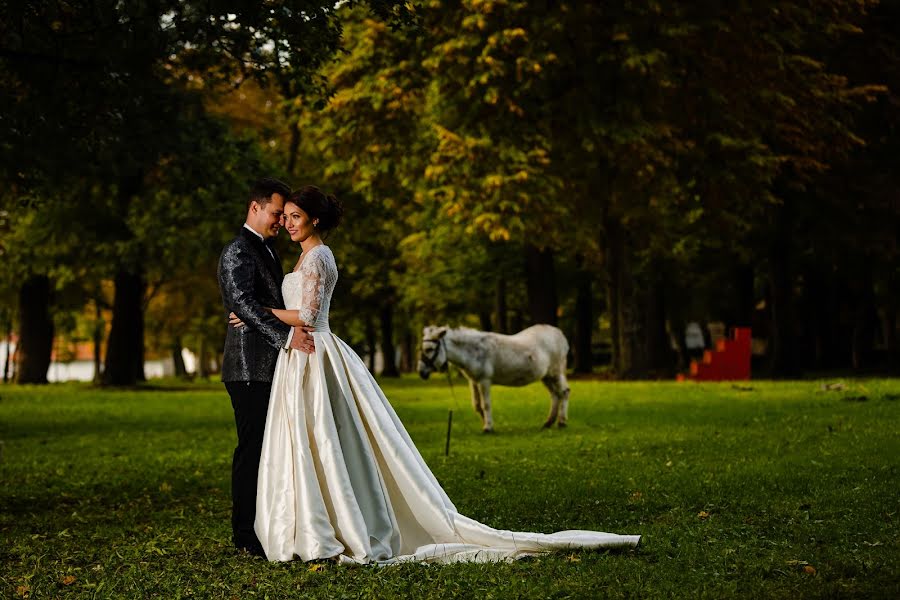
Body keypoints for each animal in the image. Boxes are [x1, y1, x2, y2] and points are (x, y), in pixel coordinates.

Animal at [420, 324, 568, 432]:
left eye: (429, 349)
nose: (421, 372)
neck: (473, 351)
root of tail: (559, 334)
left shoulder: (484, 381)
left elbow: (486, 404)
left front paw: (488, 427)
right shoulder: (473, 381)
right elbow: (477, 405)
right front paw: (486, 422)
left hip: (556, 372)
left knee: (564, 392)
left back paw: (561, 422)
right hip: (546, 376)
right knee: (555, 395)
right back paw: (548, 422)